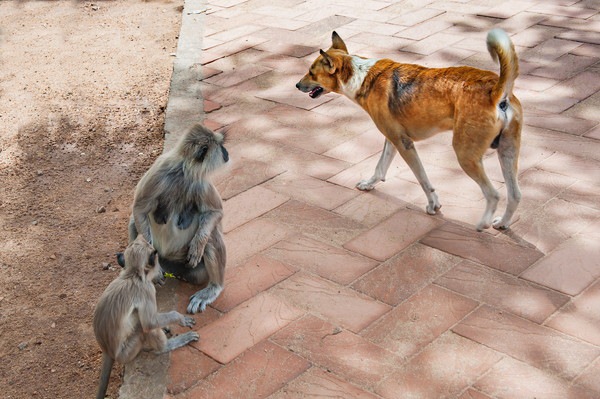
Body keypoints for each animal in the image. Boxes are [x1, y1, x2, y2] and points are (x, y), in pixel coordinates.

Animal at [92, 234, 198, 399]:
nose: (161, 270)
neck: (132, 274)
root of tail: (107, 349)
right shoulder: (147, 289)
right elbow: (149, 322)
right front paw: (179, 318)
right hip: (128, 351)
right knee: (143, 328)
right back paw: (167, 346)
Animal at [127, 125, 229, 316]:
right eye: (220, 146)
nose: (226, 153)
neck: (183, 169)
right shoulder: (158, 172)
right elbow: (139, 209)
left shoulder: (201, 182)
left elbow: (215, 212)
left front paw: (198, 244)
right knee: (133, 221)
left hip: (193, 270)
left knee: (211, 234)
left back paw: (214, 287)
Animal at [298, 28, 524, 231]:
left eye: (311, 72)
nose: (296, 85)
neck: (360, 76)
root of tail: (495, 91)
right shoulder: (392, 138)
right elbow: (380, 167)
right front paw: (369, 184)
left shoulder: (404, 144)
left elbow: (423, 179)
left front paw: (433, 205)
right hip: (507, 152)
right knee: (515, 194)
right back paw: (502, 224)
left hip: (465, 155)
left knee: (493, 194)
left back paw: (482, 224)